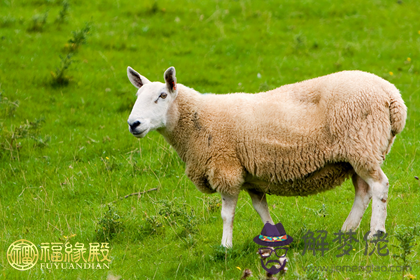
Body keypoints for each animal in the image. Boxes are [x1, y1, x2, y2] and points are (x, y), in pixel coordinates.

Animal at [125, 66, 406, 248]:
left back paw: (375, 233)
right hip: (358, 153)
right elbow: (262, 209)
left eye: (162, 96)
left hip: (362, 144)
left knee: (379, 185)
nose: (133, 124)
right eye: (137, 97)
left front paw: (225, 247)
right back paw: (347, 230)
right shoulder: (252, 179)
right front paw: (273, 238)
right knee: (363, 192)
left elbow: (226, 215)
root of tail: (393, 97)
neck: (198, 120)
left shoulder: (226, 168)